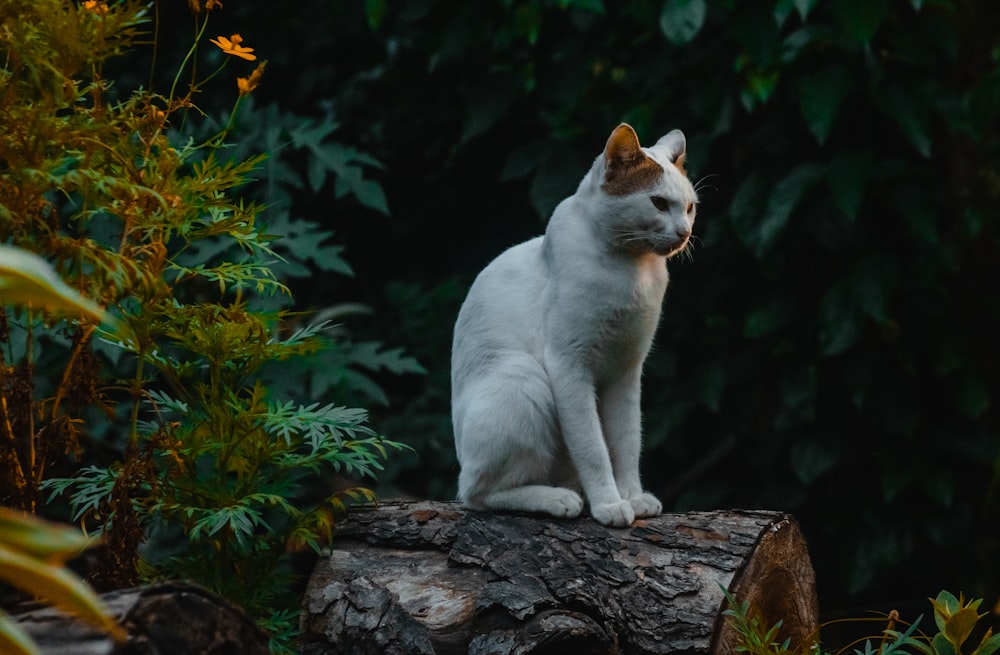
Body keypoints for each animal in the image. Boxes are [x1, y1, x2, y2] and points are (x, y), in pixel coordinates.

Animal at [452, 123, 696, 528]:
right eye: (659, 203)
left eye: (690, 207)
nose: (684, 233)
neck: (631, 270)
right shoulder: (569, 365)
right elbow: (593, 447)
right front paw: (610, 505)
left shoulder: (627, 372)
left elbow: (627, 442)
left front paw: (632, 497)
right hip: (524, 378)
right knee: (476, 494)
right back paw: (559, 499)